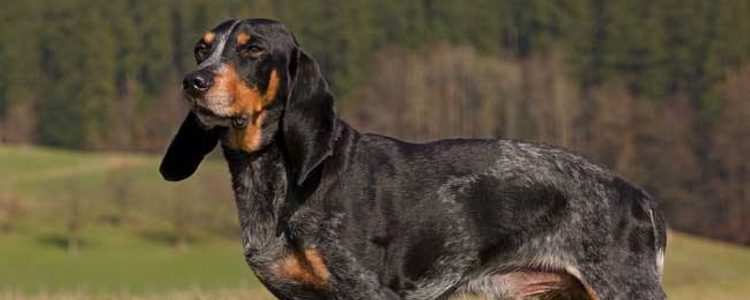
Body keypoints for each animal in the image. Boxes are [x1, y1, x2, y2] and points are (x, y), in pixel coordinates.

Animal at [160, 19, 668, 300]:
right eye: (202, 48)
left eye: (252, 48)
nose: (193, 82)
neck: (281, 178)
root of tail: (640, 197)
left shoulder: (369, 291)